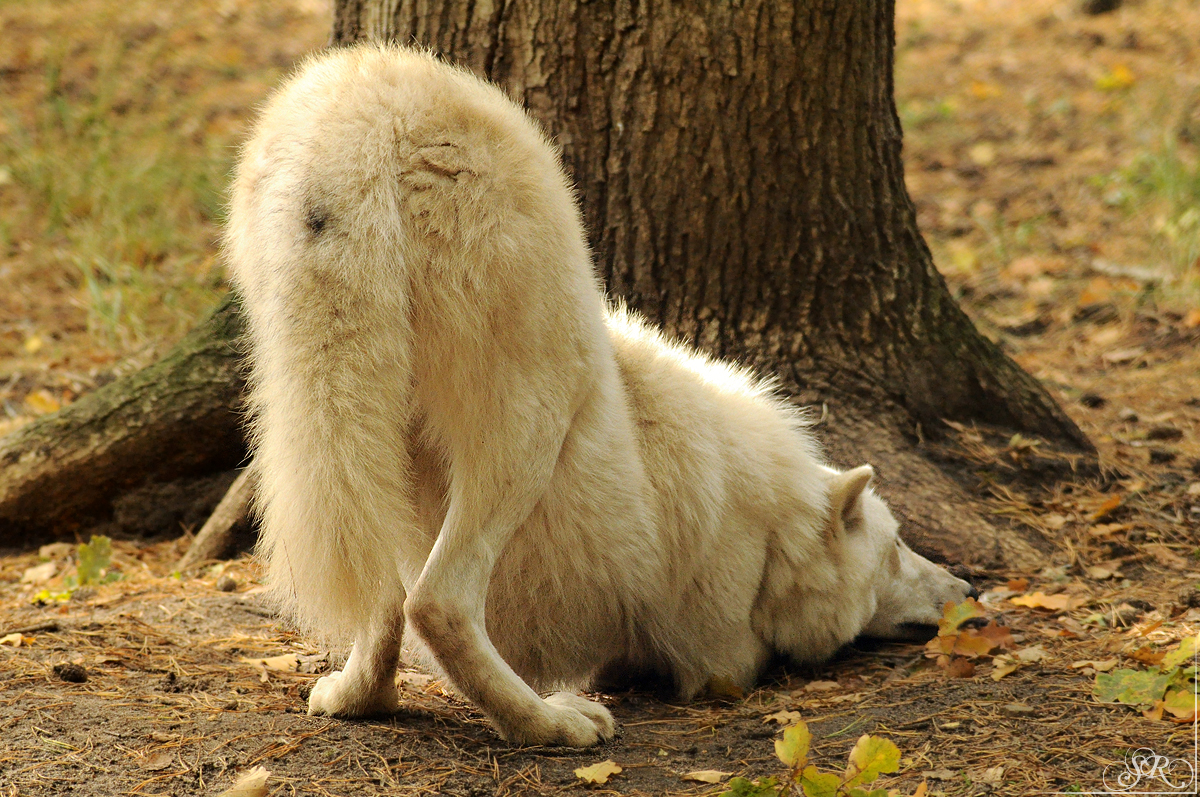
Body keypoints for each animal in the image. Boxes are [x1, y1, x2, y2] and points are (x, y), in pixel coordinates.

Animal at [225, 44, 976, 747]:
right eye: (896, 551)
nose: (970, 589)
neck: (769, 523)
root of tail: (367, 112)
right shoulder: (720, 652)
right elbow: (732, 657)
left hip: (335, 421)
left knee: (382, 596)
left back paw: (360, 698)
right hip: (540, 405)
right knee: (438, 602)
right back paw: (551, 724)